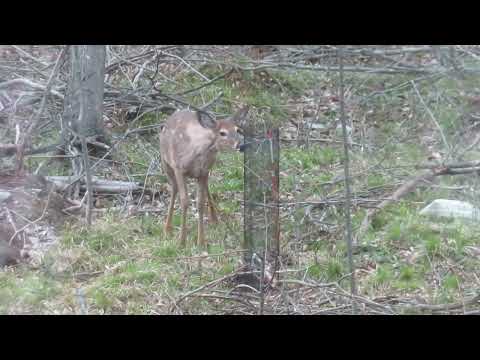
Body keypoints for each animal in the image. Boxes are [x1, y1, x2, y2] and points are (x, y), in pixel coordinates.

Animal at [159, 105, 249, 249]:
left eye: (237, 129)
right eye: (222, 133)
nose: (240, 145)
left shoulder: (203, 172)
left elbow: (200, 203)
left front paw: (201, 242)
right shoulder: (179, 168)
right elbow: (184, 201)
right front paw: (182, 241)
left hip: (205, 171)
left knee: (206, 188)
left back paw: (215, 219)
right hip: (165, 162)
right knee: (174, 189)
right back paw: (167, 228)